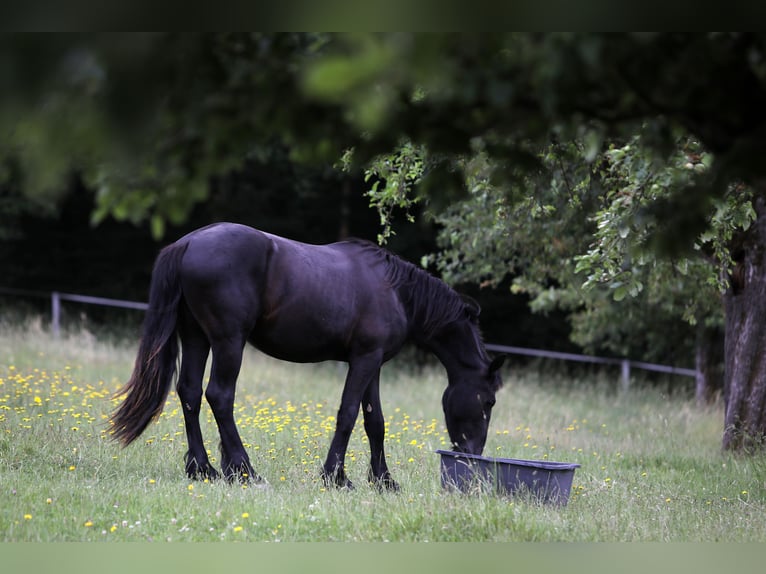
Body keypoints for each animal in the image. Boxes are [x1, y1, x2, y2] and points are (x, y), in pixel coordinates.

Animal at [109, 222, 504, 490]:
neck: (395, 291)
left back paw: (203, 470)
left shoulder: (373, 363)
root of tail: (188, 242)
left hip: (196, 338)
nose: (473, 454)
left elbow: (374, 421)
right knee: (219, 396)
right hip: (228, 341)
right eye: (488, 401)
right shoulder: (364, 360)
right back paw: (245, 471)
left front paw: (384, 481)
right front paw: (336, 477)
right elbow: (347, 414)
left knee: (189, 393)